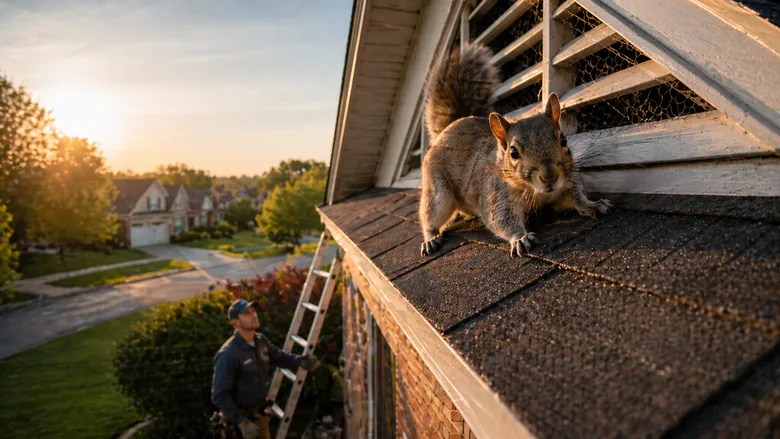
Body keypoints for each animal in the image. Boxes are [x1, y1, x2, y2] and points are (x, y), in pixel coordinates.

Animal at [420, 43, 613, 258]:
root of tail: (445, 130)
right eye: (513, 152)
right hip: (437, 191)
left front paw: (593, 204)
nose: (550, 175)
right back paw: (430, 239)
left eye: (564, 140)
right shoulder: (496, 194)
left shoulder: (566, 182)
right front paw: (521, 238)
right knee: (430, 215)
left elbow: (575, 196)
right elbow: (500, 218)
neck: (536, 191)